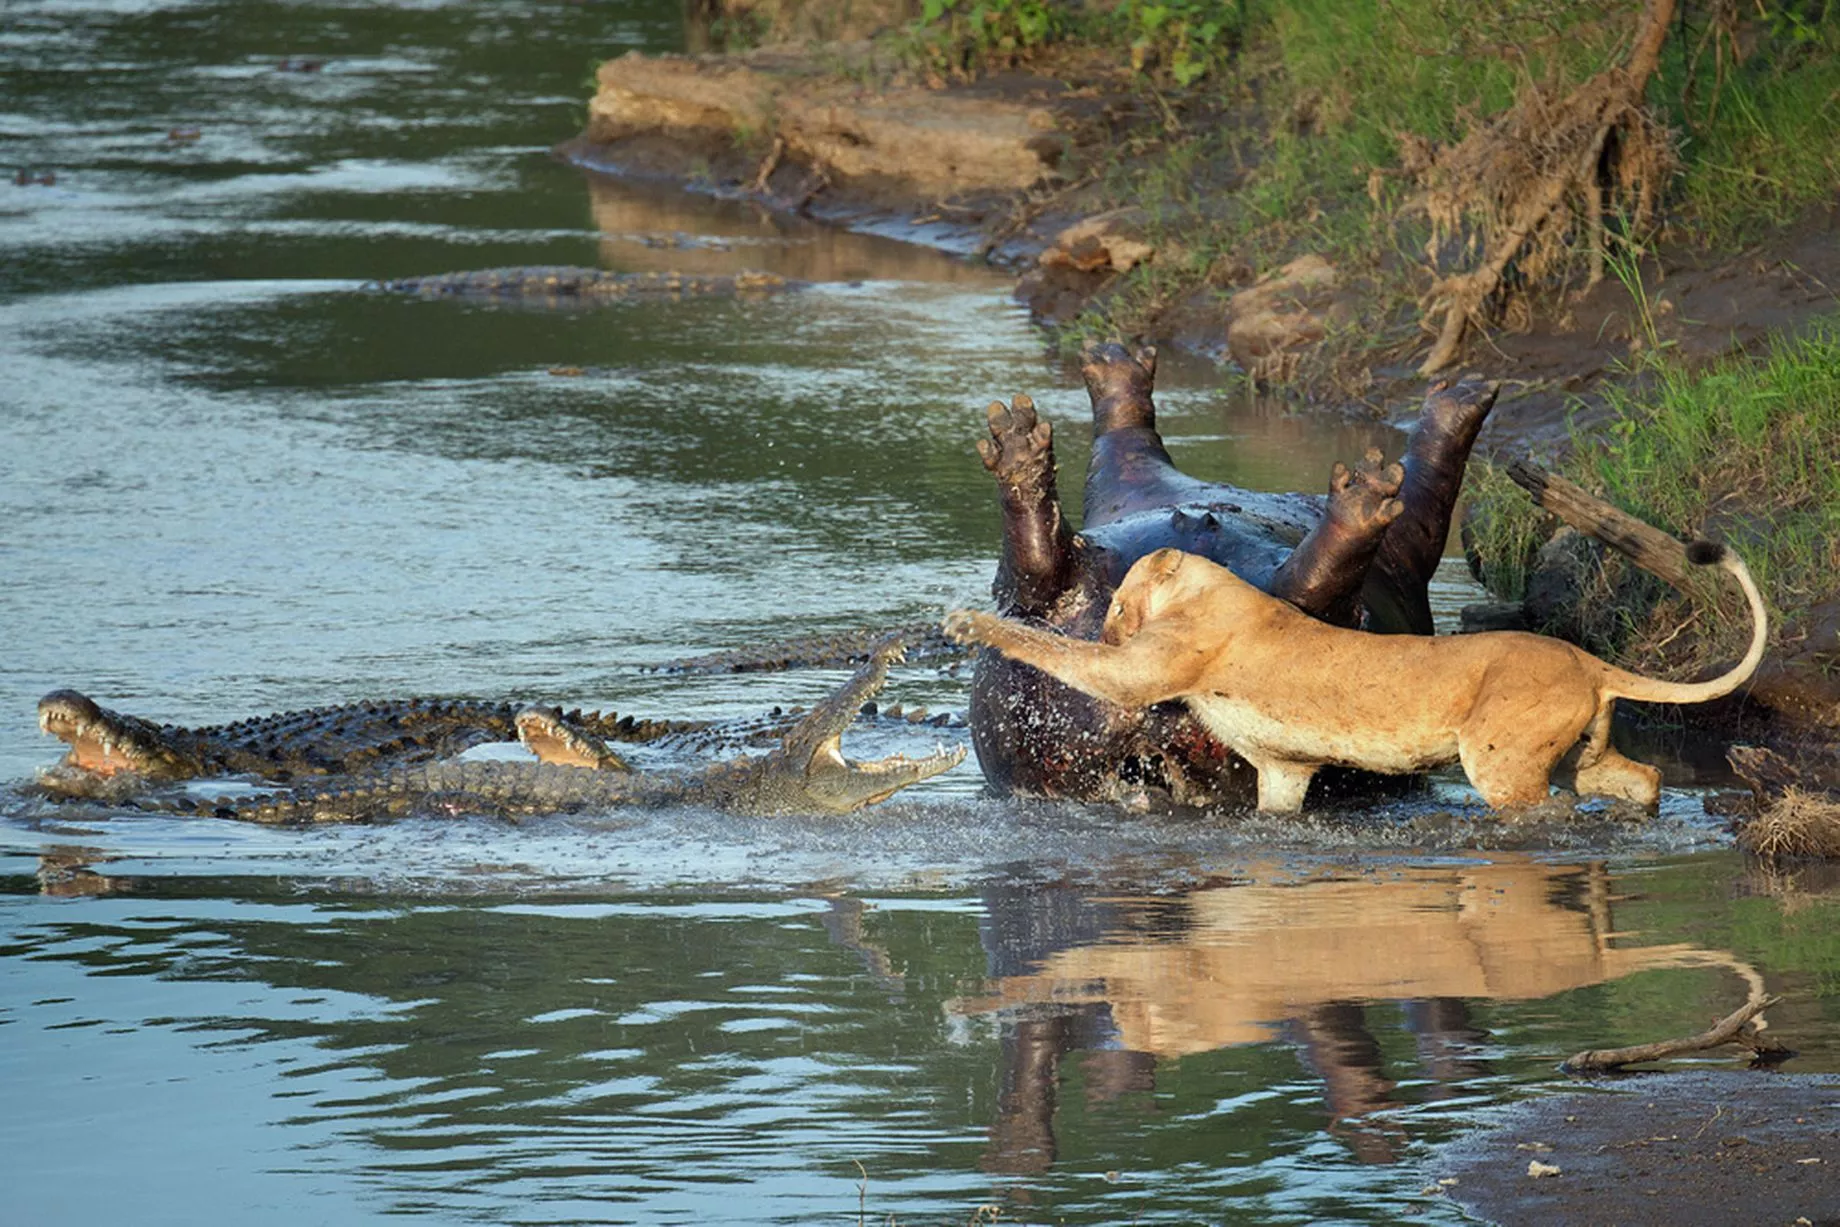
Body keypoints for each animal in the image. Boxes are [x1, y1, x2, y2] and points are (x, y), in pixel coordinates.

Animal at [944, 541, 1767, 813]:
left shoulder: (1140, 670)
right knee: (1640, 776)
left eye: (1116, 601)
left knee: (1546, 809)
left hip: (1503, 760)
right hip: (1581, 753)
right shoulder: (1283, 769)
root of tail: (1585, 658)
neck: (1212, 586)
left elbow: (1057, 651)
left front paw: (968, 623)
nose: (1112, 622)